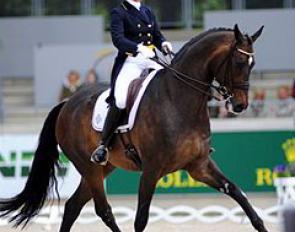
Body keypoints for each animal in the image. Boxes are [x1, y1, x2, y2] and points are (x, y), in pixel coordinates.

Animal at [0, 24, 268, 231]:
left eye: (253, 64)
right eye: (239, 61)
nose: (240, 105)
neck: (179, 100)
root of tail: (67, 103)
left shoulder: (198, 166)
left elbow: (237, 192)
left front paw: (259, 223)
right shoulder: (151, 170)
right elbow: (141, 219)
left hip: (103, 168)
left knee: (73, 206)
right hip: (89, 166)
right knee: (103, 210)